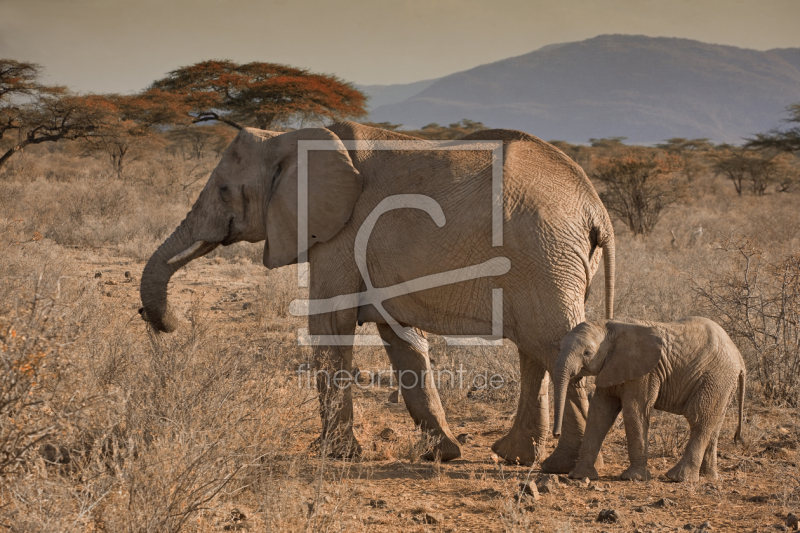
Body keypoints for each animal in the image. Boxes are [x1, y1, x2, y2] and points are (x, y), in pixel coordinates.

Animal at [138, 121, 616, 470]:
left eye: (223, 190)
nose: (163, 321)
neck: (289, 136)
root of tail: (597, 211)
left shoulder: (343, 233)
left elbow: (329, 323)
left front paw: (335, 455)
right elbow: (401, 335)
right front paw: (441, 454)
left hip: (543, 253)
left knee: (551, 344)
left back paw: (561, 467)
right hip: (548, 260)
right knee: (534, 347)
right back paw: (518, 458)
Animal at [552, 316, 744, 482]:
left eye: (587, 353)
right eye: (559, 348)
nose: (556, 434)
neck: (609, 325)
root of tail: (739, 357)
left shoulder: (645, 372)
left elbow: (634, 411)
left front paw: (633, 478)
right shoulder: (611, 367)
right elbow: (599, 413)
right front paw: (579, 475)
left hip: (716, 378)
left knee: (699, 419)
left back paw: (678, 478)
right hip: (724, 384)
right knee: (714, 425)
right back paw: (708, 477)